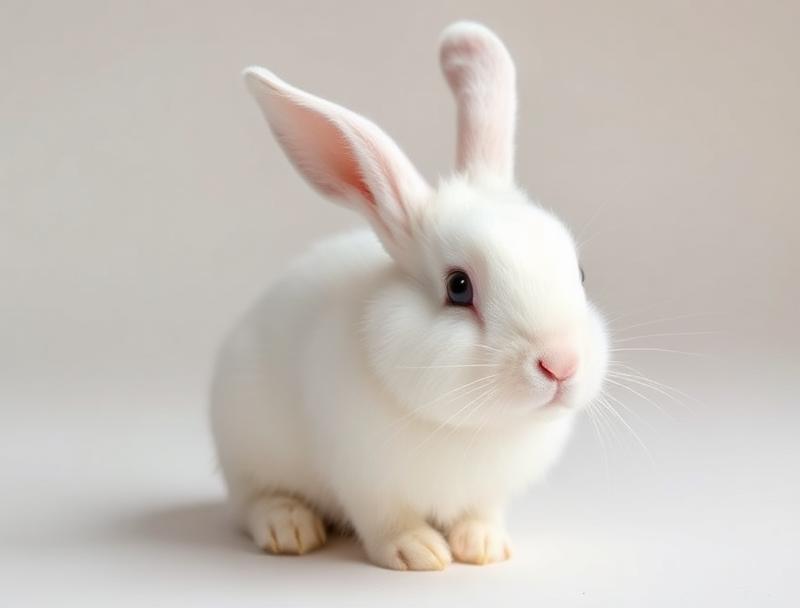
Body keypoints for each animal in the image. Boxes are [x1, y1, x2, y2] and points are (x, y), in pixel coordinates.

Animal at [210, 21, 609, 570]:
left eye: (580, 273)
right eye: (459, 287)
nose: (561, 364)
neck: (473, 427)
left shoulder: (489, 491)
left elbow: (482, 512)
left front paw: (483, 547)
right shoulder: (363, 478)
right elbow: (387, 521)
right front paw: (419, 552)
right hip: (246, 446)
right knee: (251, 500)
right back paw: (289, 529)